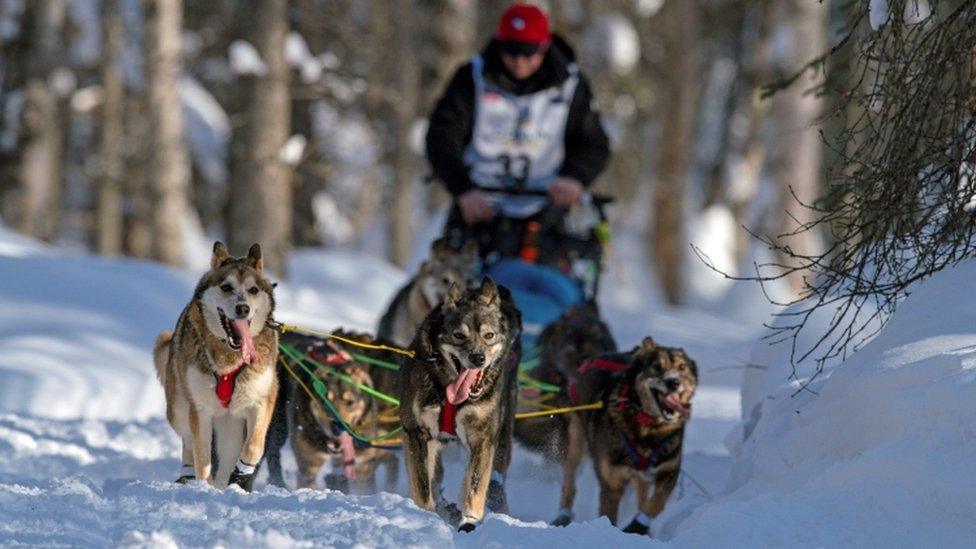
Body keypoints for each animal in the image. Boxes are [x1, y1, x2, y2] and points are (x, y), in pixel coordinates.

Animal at [152, 242, 280, 490]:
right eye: (226, 287)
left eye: (253, 290)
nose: (242, 308)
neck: (230, 358)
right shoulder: (200, 409)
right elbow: (202, 456)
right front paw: (203, 485)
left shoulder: (262, 399)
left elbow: (254, 447)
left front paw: (241, 475)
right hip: (179, 411)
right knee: (188, 441)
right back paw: (189, 475)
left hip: (230, 425)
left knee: (228, 455)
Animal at [398, 276, 524, 532]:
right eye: (458, 335)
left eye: (489, 335)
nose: (478, 358)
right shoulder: (416, 433)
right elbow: (422, 485)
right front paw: (425, 516)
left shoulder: (482, 439)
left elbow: (475, 484)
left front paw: (470, 521)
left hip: (502, 436)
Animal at [564, 338, 692, 536]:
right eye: (656, 366)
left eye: (682, 367)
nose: (674, 382)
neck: (647, 427)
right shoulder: (612, 483)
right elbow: (609, 514)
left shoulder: (669, 470)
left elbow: (656, 503)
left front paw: (638, 526)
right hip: (576, 443)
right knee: (569, 481)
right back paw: (562, 514)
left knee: (642, 498)